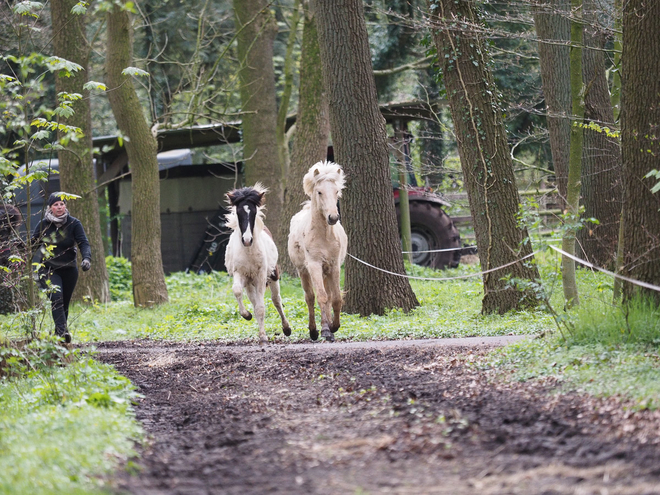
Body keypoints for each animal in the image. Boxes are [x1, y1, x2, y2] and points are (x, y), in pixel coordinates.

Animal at [223, 183, 290, 344]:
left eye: (253, 212)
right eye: (238, 212)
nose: (247, 240)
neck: (248, 251)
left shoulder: (261, 276)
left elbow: (261, 307)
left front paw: (264, 337)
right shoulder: (239, 274)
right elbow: (237, 291)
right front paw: (246, 315)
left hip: (273, 276)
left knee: (276, 300)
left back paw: (286, 328)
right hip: (249, 284)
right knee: (254, 301)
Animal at [288, 161, 348, 342]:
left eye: (337, 192)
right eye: (319, 192)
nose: (333, 218)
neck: (324, 236)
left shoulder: (334, 266)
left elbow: (335, 299)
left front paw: (334, 326)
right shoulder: (314, 265)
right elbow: (320, 297)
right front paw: (326, 330)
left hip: (326, 271)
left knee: (327, 296)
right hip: (304, 271)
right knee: (310, 297)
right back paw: (315, 330)